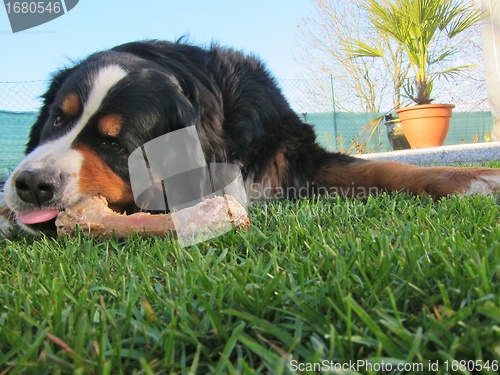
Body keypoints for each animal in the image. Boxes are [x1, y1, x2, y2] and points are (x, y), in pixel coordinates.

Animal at [0, 39, 500, 236]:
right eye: (57, 120)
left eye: (113, 143)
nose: (29, 185)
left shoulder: (297, 157)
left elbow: (387, 168)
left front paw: (475, 177)